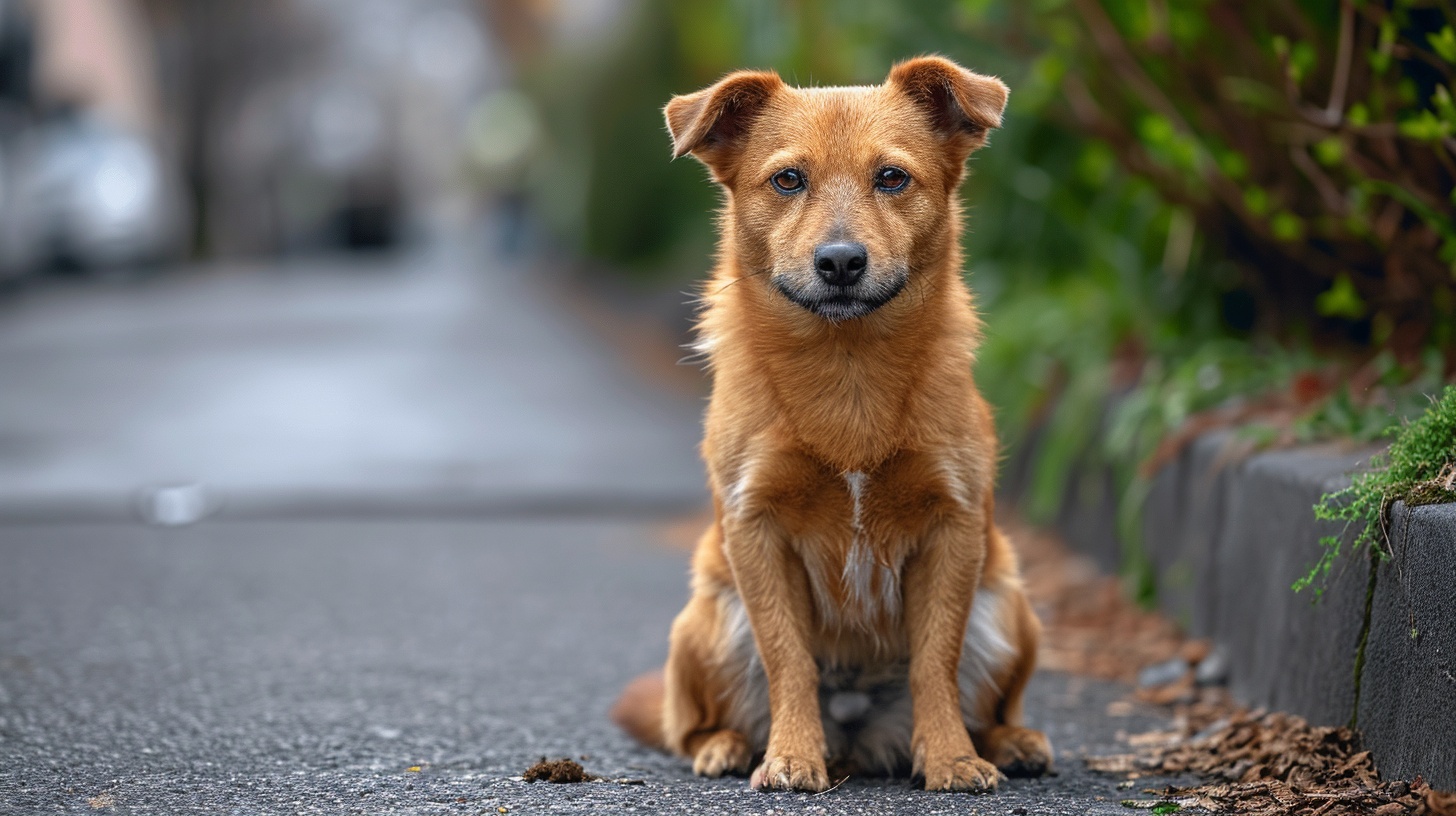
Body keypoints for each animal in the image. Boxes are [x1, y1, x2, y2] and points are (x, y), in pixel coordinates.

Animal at [608, 55, 1054, 792]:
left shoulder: (953, 528)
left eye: (892, 177)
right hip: (706, 622)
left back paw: (1008, 741)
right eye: (788, 179)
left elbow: (937, 661)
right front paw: (791, 756)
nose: (841, 261)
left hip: (1010, 606)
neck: (849, 372)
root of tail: (858, 734)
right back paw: (728, 745)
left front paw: (953, 758)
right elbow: (789, 658)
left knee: (989, 700)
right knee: (690, 723)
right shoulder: (756, 529)